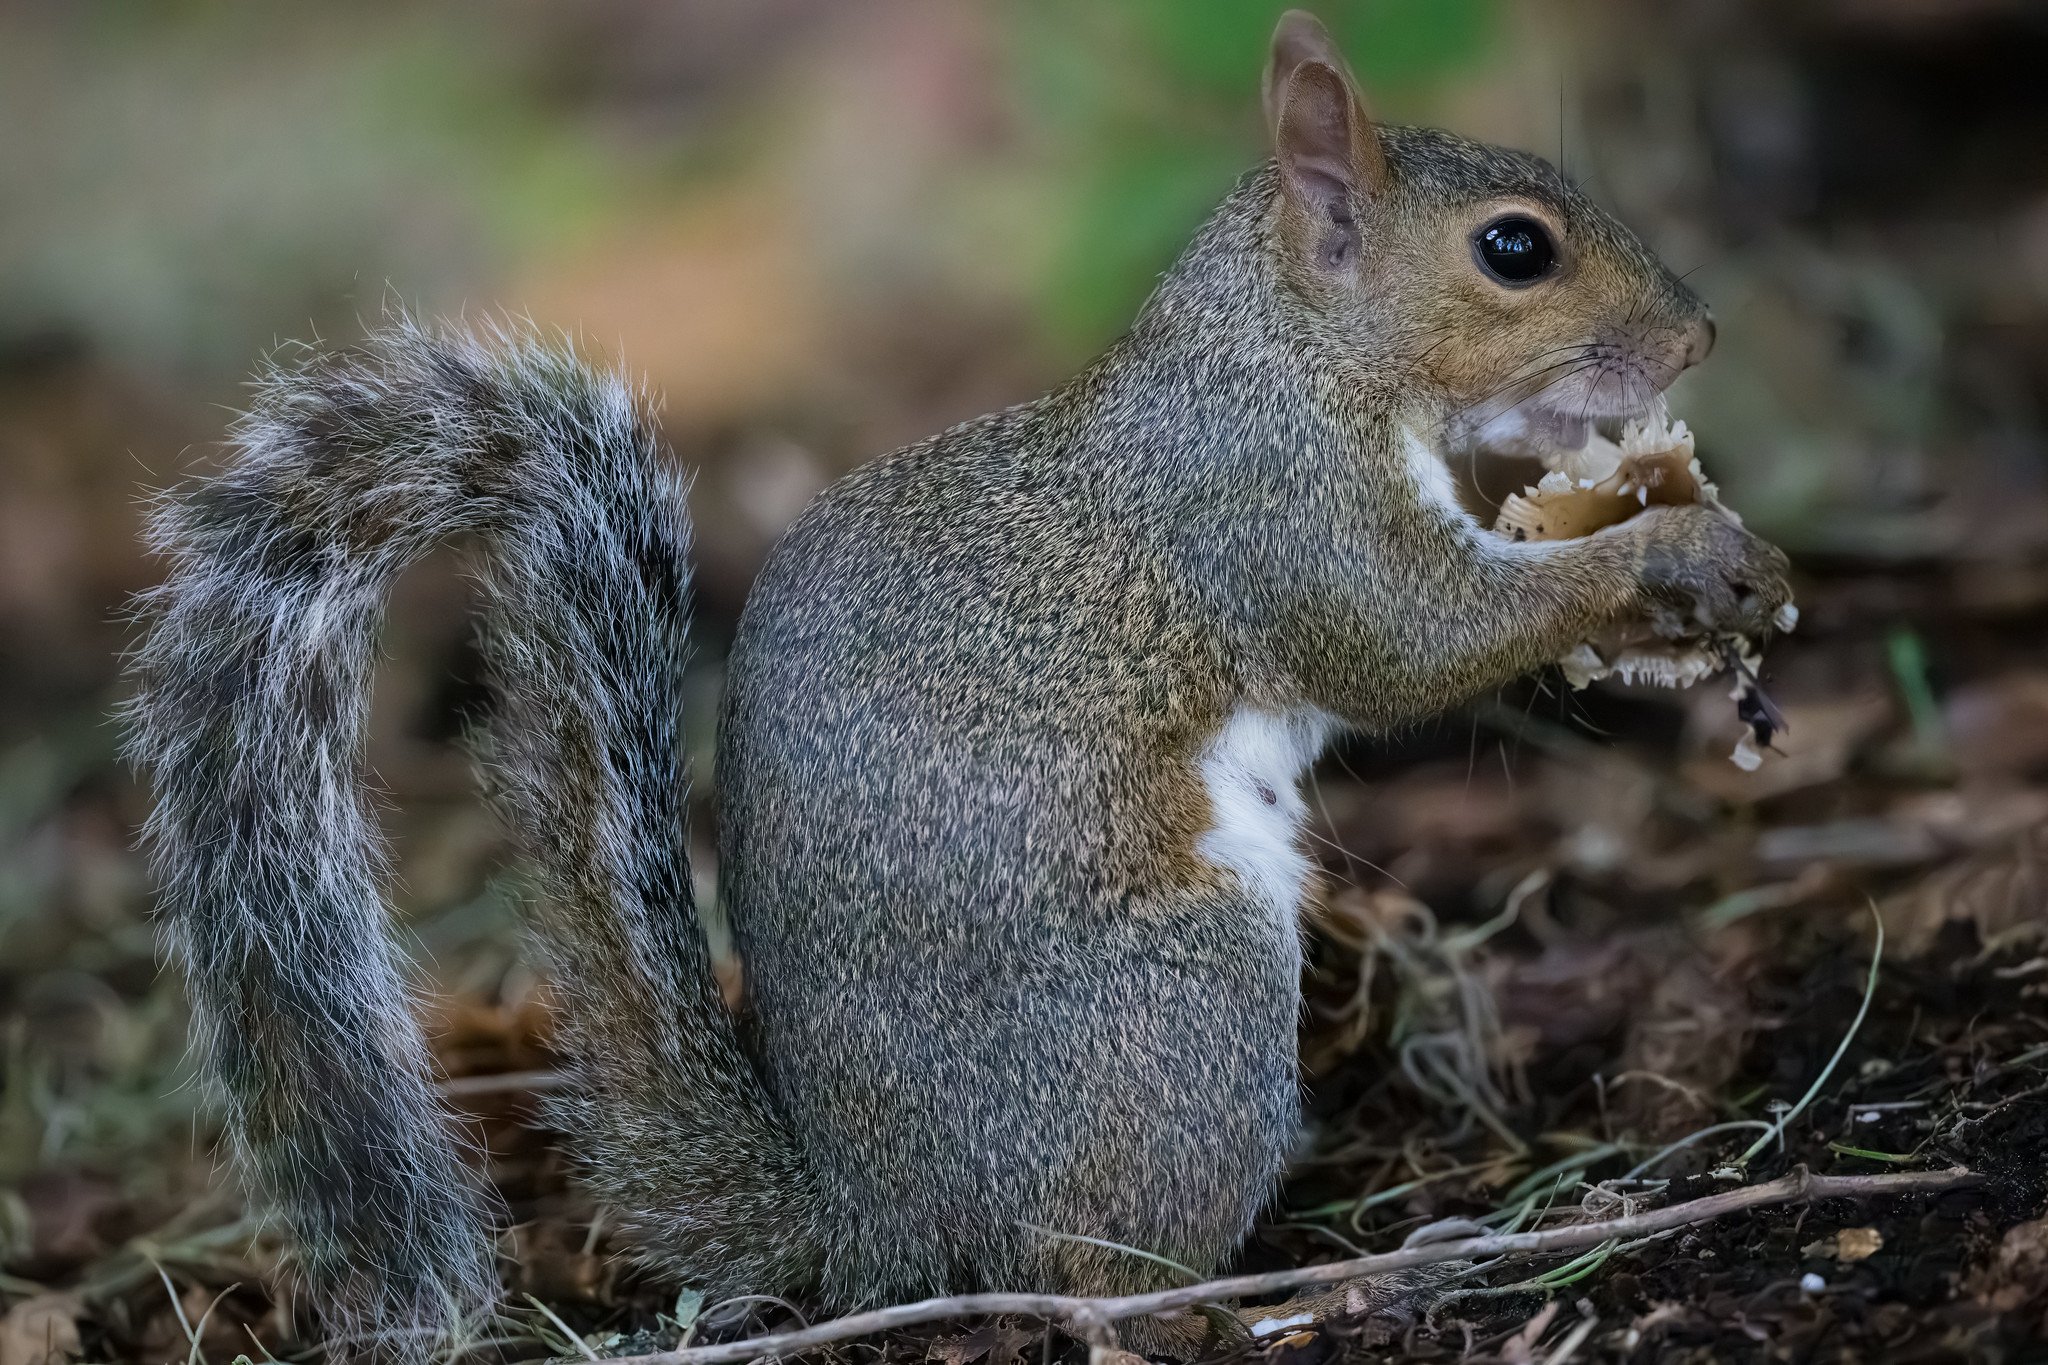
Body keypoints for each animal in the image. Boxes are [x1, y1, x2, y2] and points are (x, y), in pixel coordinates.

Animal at [125, 11, 1791, 1360]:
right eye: (1514, 248)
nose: (1705, 330)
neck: (1289, 359)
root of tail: (880, 1224)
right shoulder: (1269, 516)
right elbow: (1401, 641)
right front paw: (1658, 554)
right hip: (1179, 1002)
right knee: (1100, 1277)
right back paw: (1307, 1286)